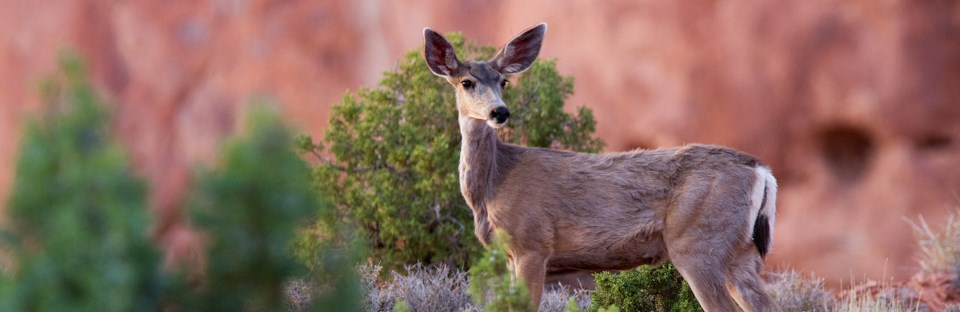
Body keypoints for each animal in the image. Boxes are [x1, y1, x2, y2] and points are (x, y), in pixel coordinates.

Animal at [426, 23, 780, 310]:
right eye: (466, 82)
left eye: (503, 82)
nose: (499, 112)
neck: (493, 184)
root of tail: (761, 171)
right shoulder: (513, 254)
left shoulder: (532, 243)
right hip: (741, 252)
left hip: (697, 242)